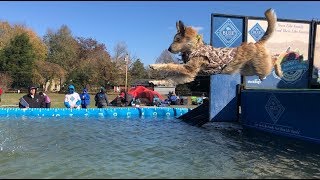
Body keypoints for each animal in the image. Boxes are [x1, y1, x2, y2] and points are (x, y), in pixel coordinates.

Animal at [149, 8, 282, 86]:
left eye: (177, 39)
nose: (169, 49)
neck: (194, 48)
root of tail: (256, 43)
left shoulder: (188, 69)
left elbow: (171, 65)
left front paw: (155, 66)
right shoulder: (188, 75)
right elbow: (170, 77)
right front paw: (157, 81)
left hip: (262, 68)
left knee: (274, 60)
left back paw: (280, 69)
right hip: (250, 70)